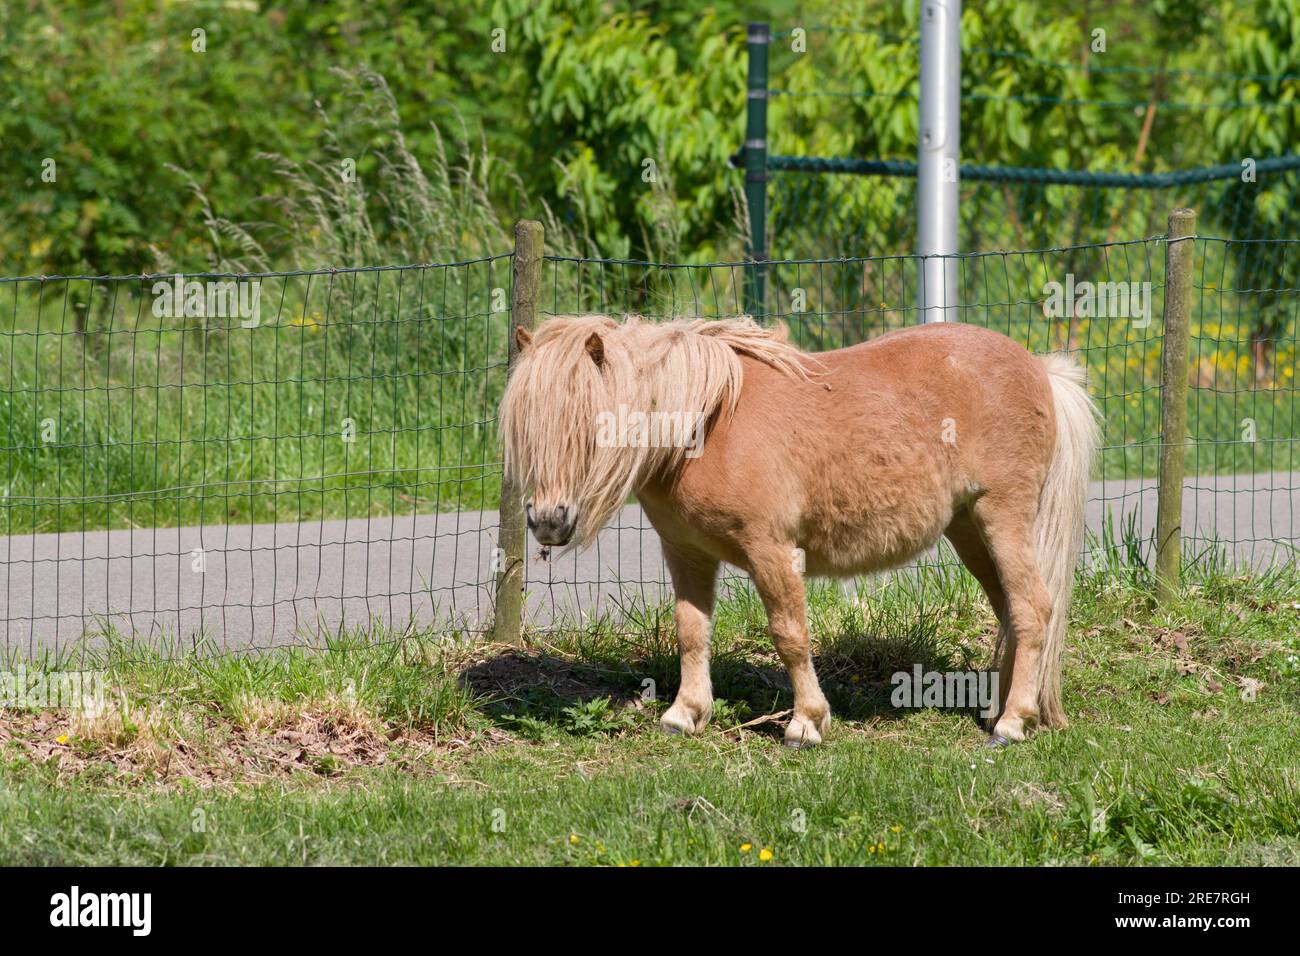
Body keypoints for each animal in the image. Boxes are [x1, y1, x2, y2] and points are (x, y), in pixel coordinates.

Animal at [500, 314, 1099, 748]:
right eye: (526, 426)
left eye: (585, 425)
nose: (548, 521)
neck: (707, 424)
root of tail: (1038, 368)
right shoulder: (687, 554)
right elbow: (691, 631)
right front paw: (685, 713)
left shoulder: (772, 552)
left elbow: (790, 635)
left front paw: (806, 723)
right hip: (969, 529)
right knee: (1010, 612)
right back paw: (1001, 710)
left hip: (1002, 518)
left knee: (1032, 608)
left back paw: (1013, 723)